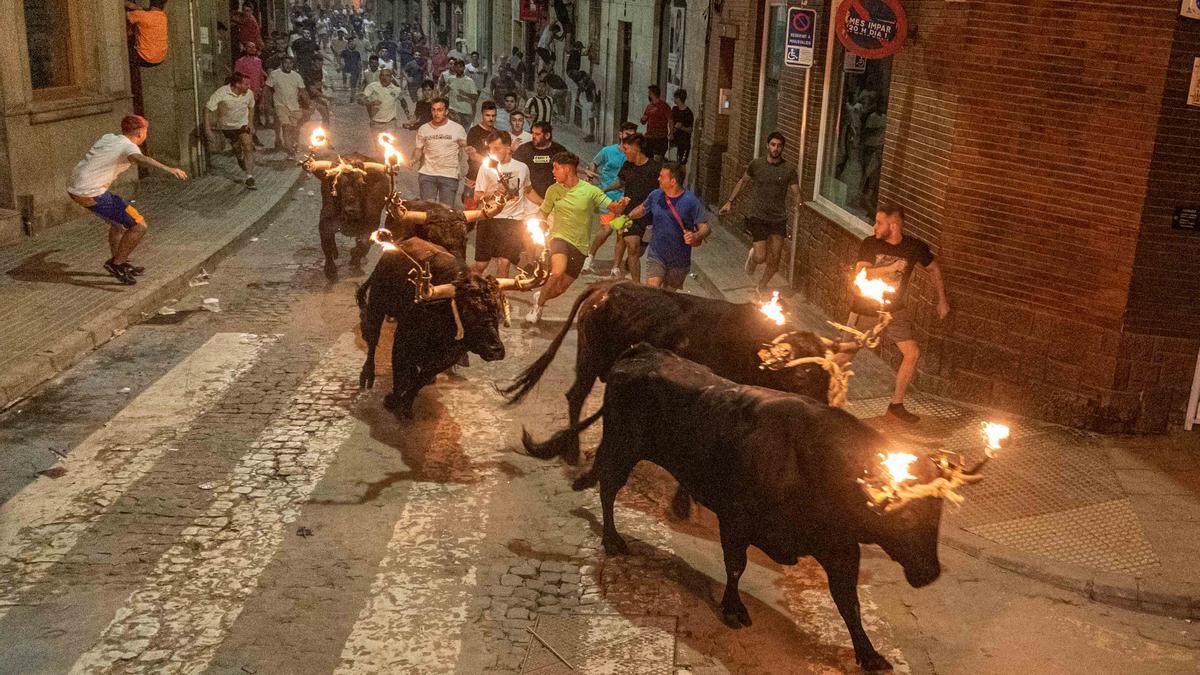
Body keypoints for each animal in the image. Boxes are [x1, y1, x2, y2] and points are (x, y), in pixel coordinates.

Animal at [352, 236, 508, 415]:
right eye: (468, 312)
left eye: (498, 311)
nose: (495, 350)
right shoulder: (403, 338)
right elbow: (399, 369)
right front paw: (393, 400)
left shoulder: (449, 356)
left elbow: (421, 378)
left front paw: (406, 404)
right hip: (377, 304)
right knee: (372, 341)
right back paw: (367, 375)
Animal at [499, 279, 835, 461]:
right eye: (802, 375)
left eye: (827, 377)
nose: (823, 409)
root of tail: (604, 288)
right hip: (590, 358)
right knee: (576, 395)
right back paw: (571, 451)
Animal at [537, 343, 945, 667]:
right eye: (907, 516)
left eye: (937, 515)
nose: (930, 574)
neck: (814, 462)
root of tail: (641, 351)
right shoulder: (736, 519)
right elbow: (736, 566)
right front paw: (733, 609)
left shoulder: (841, 546)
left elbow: (849, 602)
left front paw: (869, 653)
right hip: (623, 445)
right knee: (608, 487)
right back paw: (612, 540)